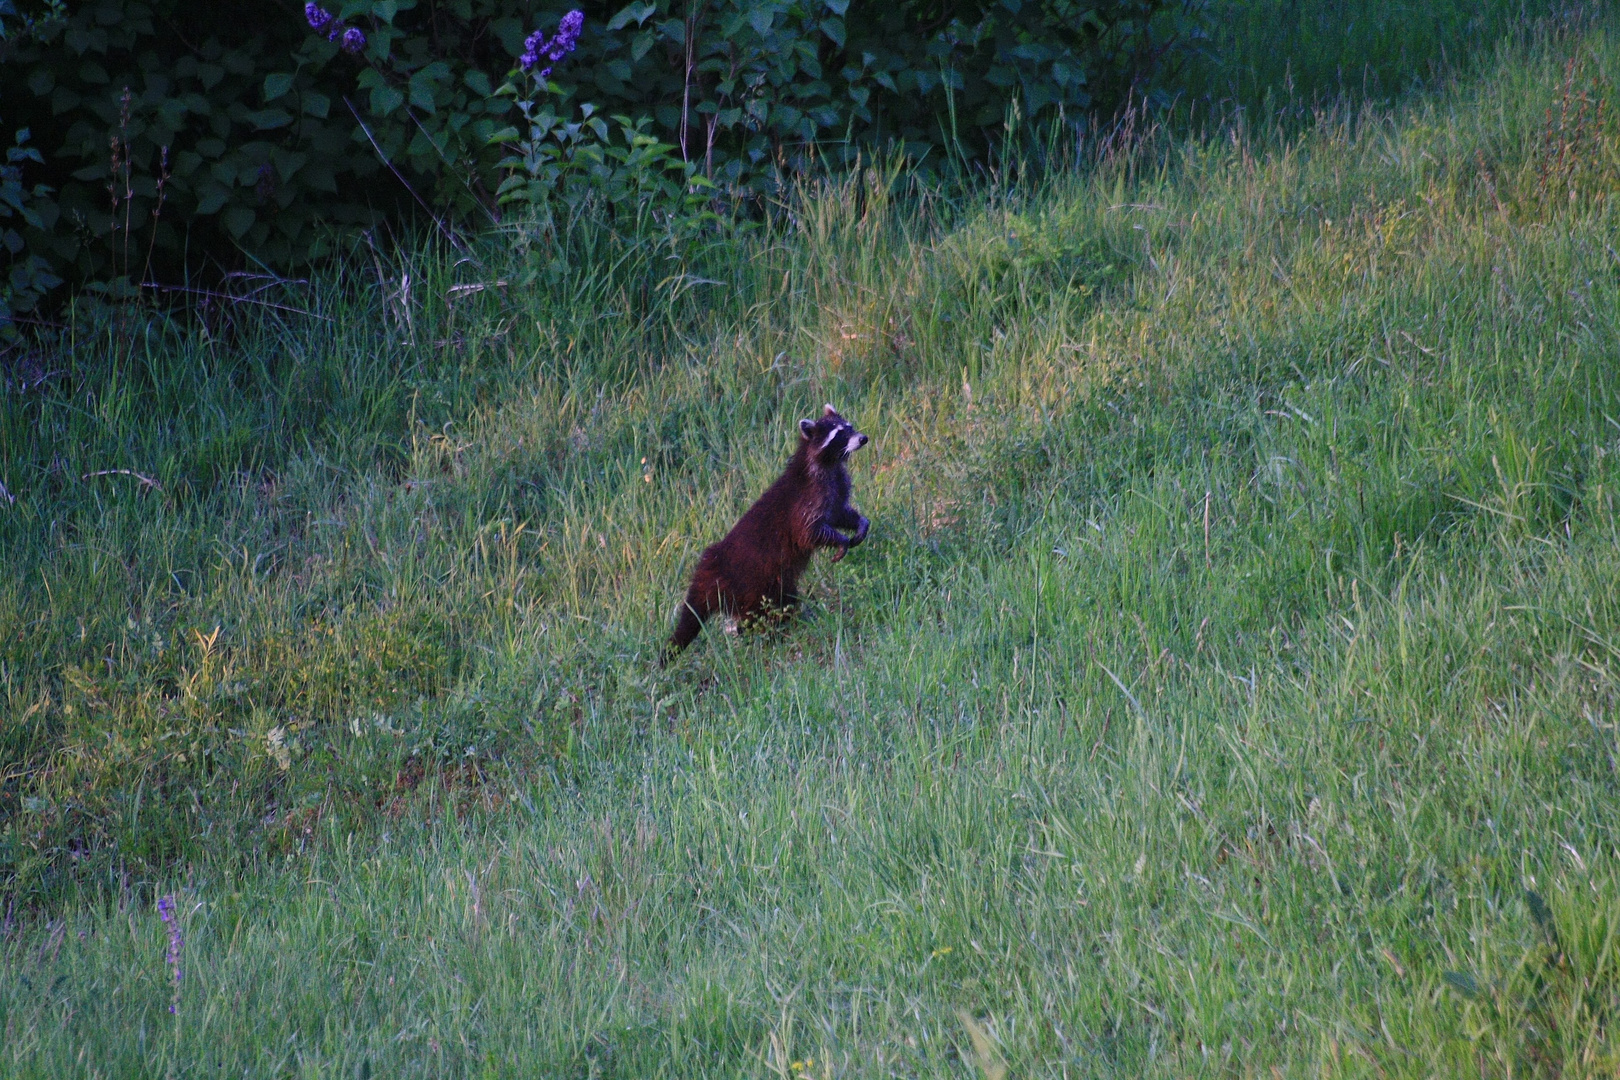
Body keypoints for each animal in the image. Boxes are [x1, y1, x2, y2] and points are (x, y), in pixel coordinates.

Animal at [667, 404, 874, 660]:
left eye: (850, 427)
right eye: (839, 434)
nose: (863, 438)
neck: (830, 463)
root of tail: (711, 567)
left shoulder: (836, 486)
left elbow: (839, 513)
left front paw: (861, 523)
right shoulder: (808, 499)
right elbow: (809, 531)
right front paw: (841, 540)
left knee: (785, 601)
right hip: (753, 585)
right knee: (764, 613)